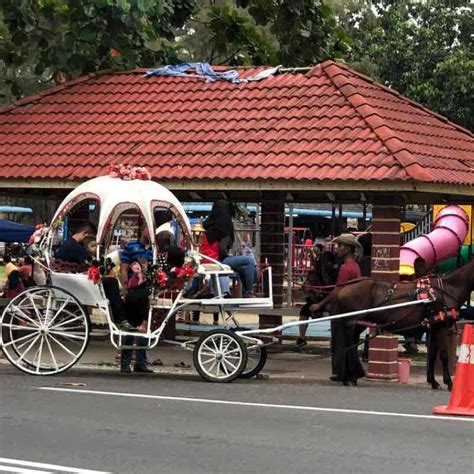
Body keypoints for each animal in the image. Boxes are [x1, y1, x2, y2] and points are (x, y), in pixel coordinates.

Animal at [320, 260, 472, 388]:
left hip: (357, 323)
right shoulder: (441, 328)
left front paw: (433, 381)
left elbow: (433, 355)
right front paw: (449, 383)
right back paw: (352, 376)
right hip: (352, 321)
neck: (447, 290)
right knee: (350, 344)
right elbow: (444, 355)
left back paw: (350, 376)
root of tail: (344, 287)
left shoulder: (434, 328)